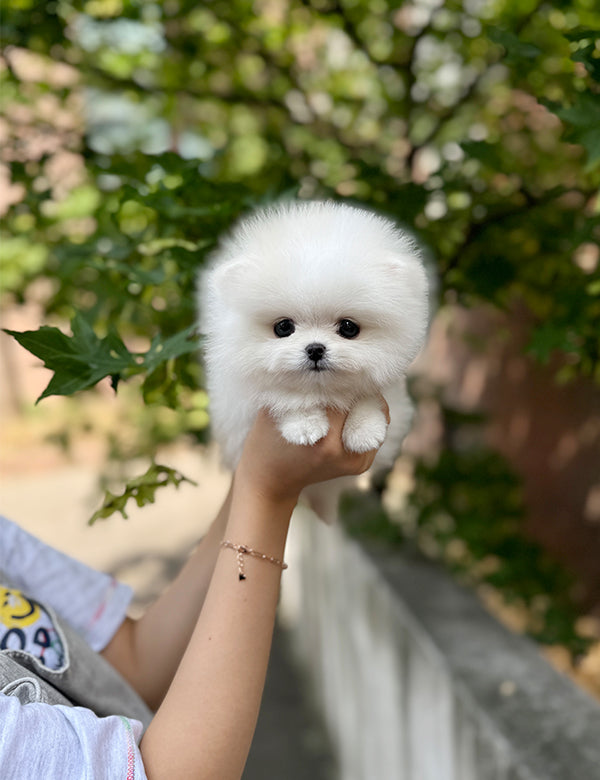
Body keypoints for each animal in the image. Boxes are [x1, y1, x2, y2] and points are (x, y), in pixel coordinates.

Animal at [199, 201, 428, 516]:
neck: (322, 388)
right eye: (283, 327)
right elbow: (284, 395)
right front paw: (305, 425)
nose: (315, 349)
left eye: (348, 328)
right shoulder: (242, 395)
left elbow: (369, 393)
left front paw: (364, 430)